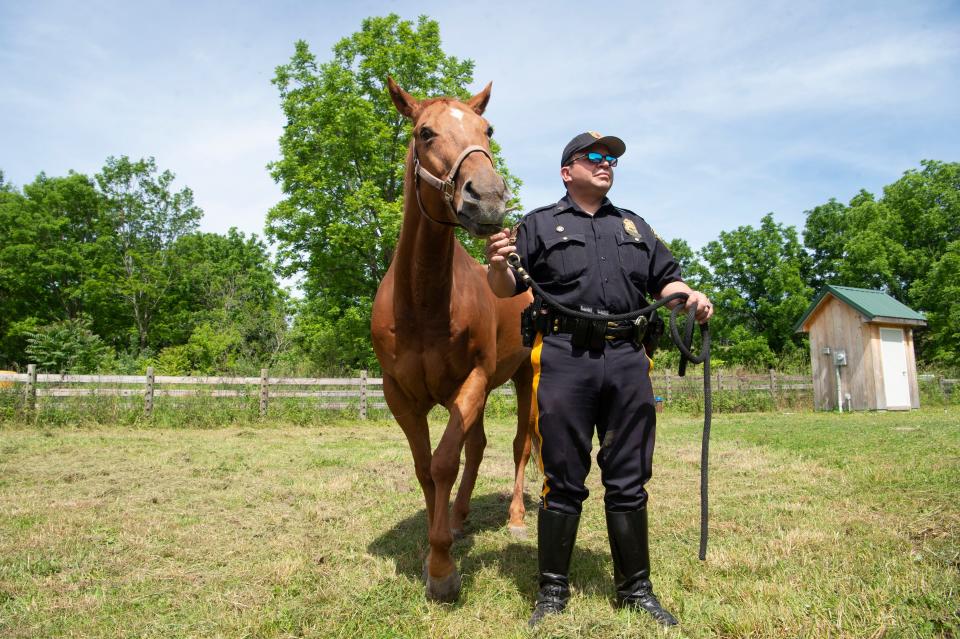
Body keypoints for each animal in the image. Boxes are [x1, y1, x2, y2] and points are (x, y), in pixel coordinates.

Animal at [370, 77, 536, 604]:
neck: (424, 303)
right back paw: (461, 516)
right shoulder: (400, 395)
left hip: (527, 379)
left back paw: (516, 516)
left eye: (488, 129)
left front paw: (442, 567)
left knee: (521, 444)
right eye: (424, 132)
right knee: (478, 445)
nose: (488, 198)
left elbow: (445, 462)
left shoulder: (474, 380)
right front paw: (437, 540)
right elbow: (426, 467)